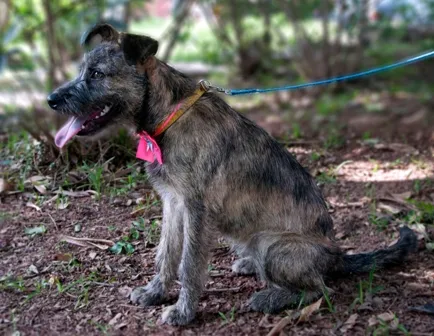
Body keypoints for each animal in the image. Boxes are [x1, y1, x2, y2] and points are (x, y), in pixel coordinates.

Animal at [47, 23, 418, 326]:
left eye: (97, 74)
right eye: (83, 70)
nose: (51, 99)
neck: (169, 116)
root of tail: (337, 256)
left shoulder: (196, 209)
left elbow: (189, 264)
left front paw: (183, 313)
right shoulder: (173, 203)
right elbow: (166, 253)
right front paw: (155, 292)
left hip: (274, 246)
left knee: (319, 288)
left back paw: (271, 296)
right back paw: (249, 265)